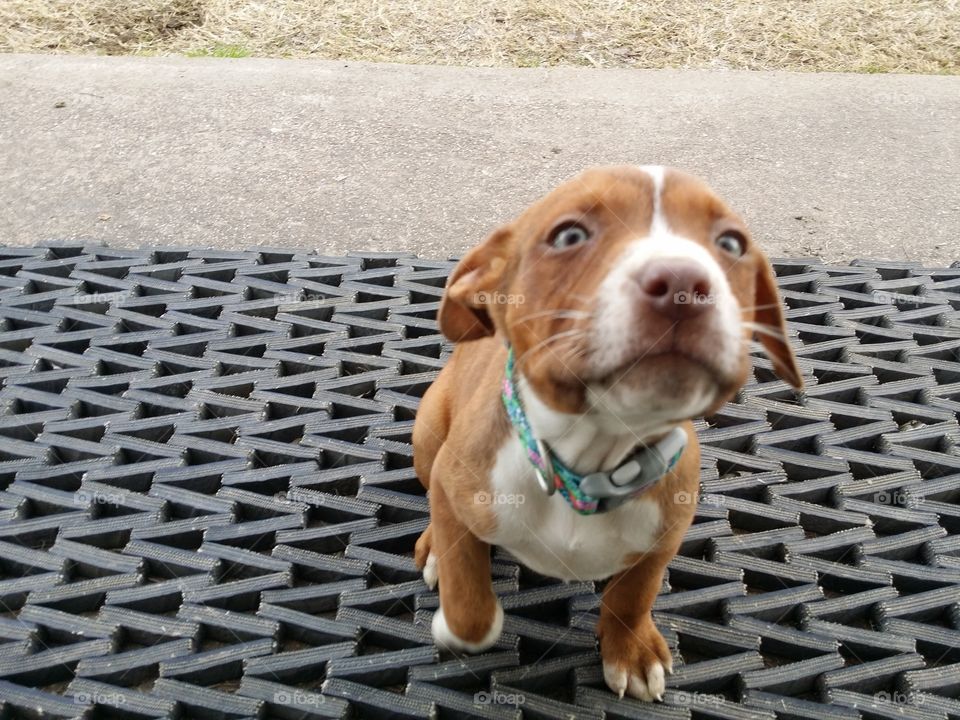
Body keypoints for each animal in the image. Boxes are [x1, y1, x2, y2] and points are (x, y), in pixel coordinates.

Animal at [412, 166, 804, 700]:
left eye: (731, 243)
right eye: (569, 236)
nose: (682, 281)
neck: (591, 457)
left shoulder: (666, 533)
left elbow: (633, 594)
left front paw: (632, 651)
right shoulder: (456, 486)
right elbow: (470, 605)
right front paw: (452, 623)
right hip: (428, 434)